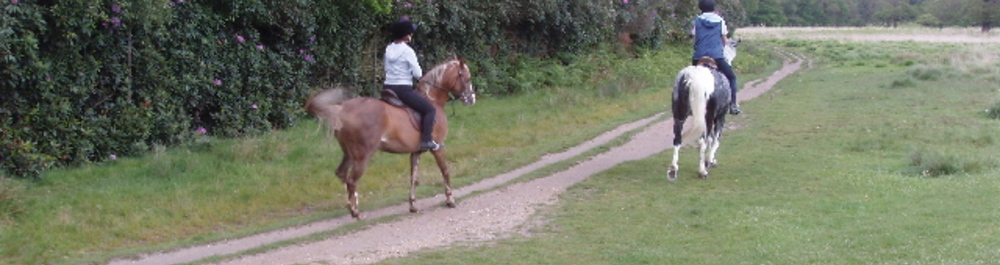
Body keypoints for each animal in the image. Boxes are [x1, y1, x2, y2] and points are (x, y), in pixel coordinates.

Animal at [304, 56, 476, 218]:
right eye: (467, 78)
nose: (471, 99)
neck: (432, 98)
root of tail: (342, 109)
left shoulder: (416, 151)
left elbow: (414, 178)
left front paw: (413, 205)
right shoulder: (438, 147)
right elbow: (445, 171)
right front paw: (450, 200)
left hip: (349, 153)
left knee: (342, 174)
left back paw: (353, 204)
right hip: (362, 156)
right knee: (352, 180)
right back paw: (355, 211)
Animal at [668, 39, 740, 179]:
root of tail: (691, 77)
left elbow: (712, 138)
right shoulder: (720, 116)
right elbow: (716, 139)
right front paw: (710, 160)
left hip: (679, 115)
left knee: (677, 139)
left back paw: (673, 169)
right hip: (708, 117)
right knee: (702, 141)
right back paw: (702, 171)